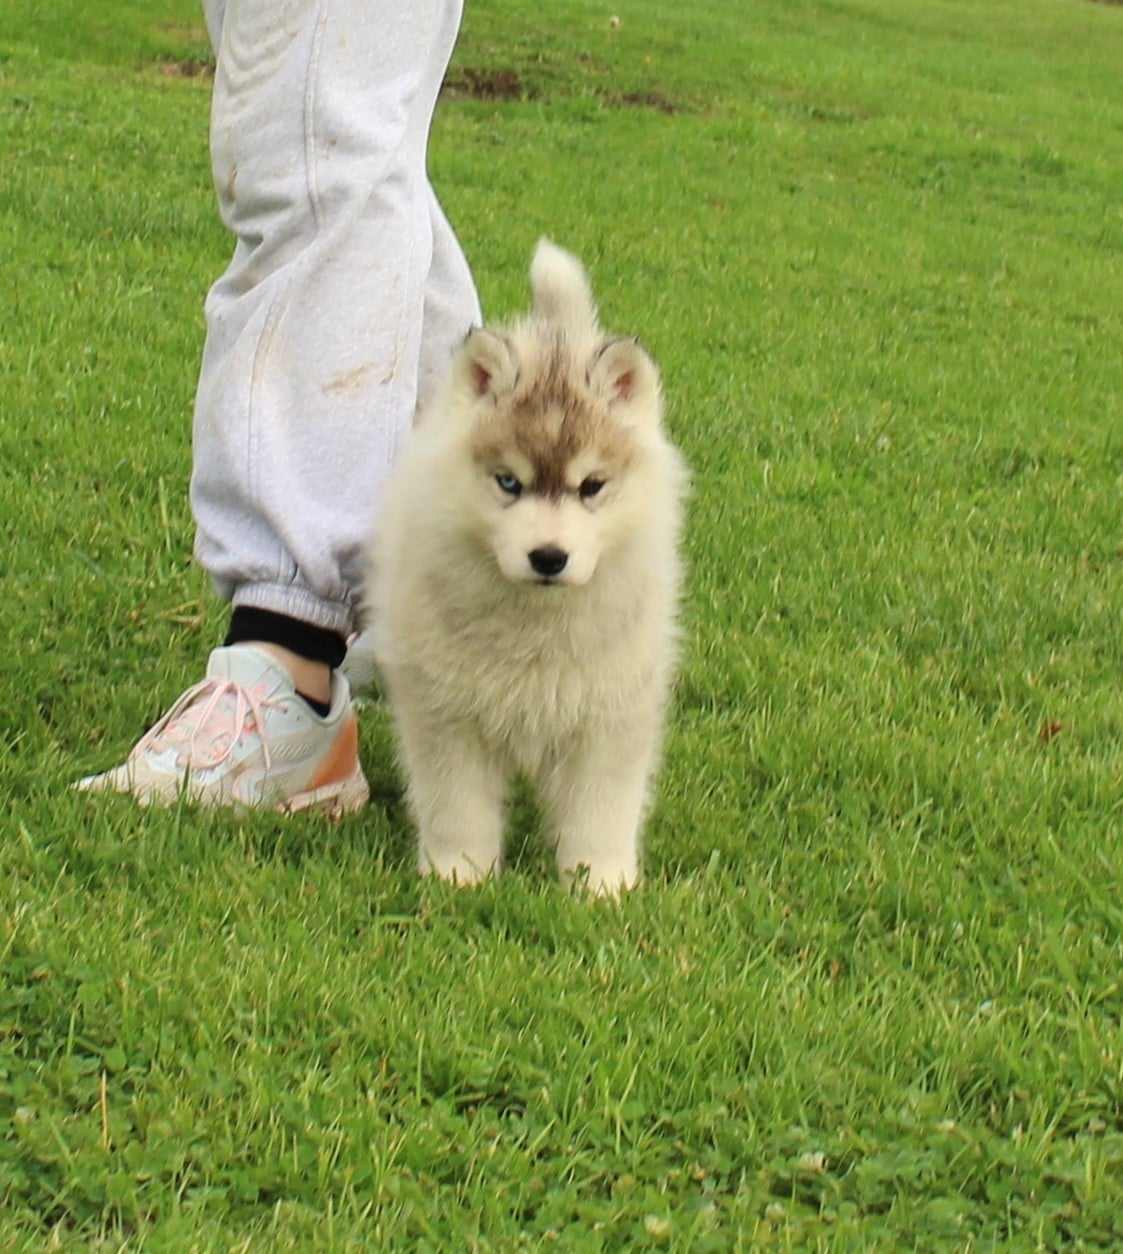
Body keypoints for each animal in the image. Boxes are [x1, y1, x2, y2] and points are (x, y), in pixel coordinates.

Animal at [363, 240, 686, 895]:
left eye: (591, 486)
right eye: (508, 482)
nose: (549, 557)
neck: (535, 629)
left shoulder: (609, 717)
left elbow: (599, 812)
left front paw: (599, 886)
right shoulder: (447, 716)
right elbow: (457, 807)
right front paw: (459, 876)